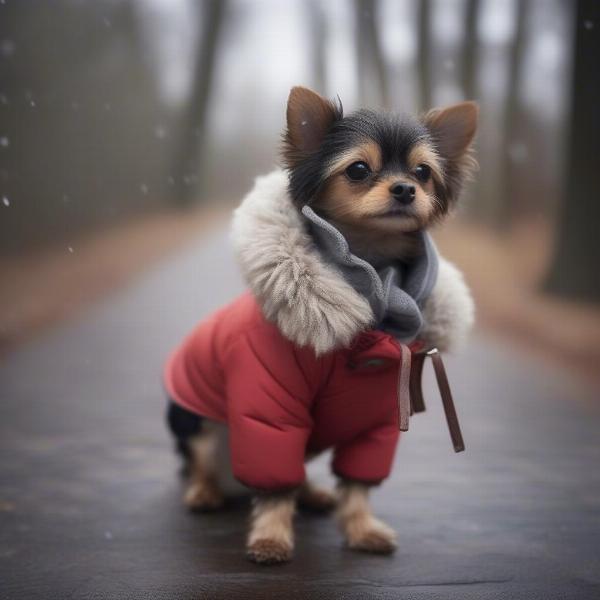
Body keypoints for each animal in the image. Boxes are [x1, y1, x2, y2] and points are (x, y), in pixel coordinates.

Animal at [164, 86, 478, 564]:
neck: (372, 274)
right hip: (195, 419)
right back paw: (205, 491)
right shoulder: (269, 406)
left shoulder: (376, 422)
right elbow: (274, 483)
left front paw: (362, 528)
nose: (406, 188)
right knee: (200, 457)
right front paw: (271, 538)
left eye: (423, 172)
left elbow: (357, 484)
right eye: (359, 169)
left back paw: (311, 493)